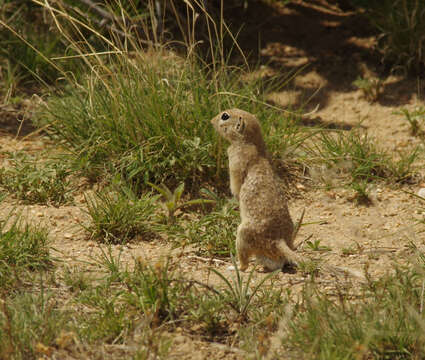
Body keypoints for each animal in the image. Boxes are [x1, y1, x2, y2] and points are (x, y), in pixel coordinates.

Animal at [210, 108, 300, 272]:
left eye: (225, 116)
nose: (211, 120)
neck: (251, 142)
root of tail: (280, 240)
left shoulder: (234, 161)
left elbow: (235, 186)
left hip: (242, 235)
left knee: (244, 263)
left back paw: (235, 267)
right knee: (277, 264)